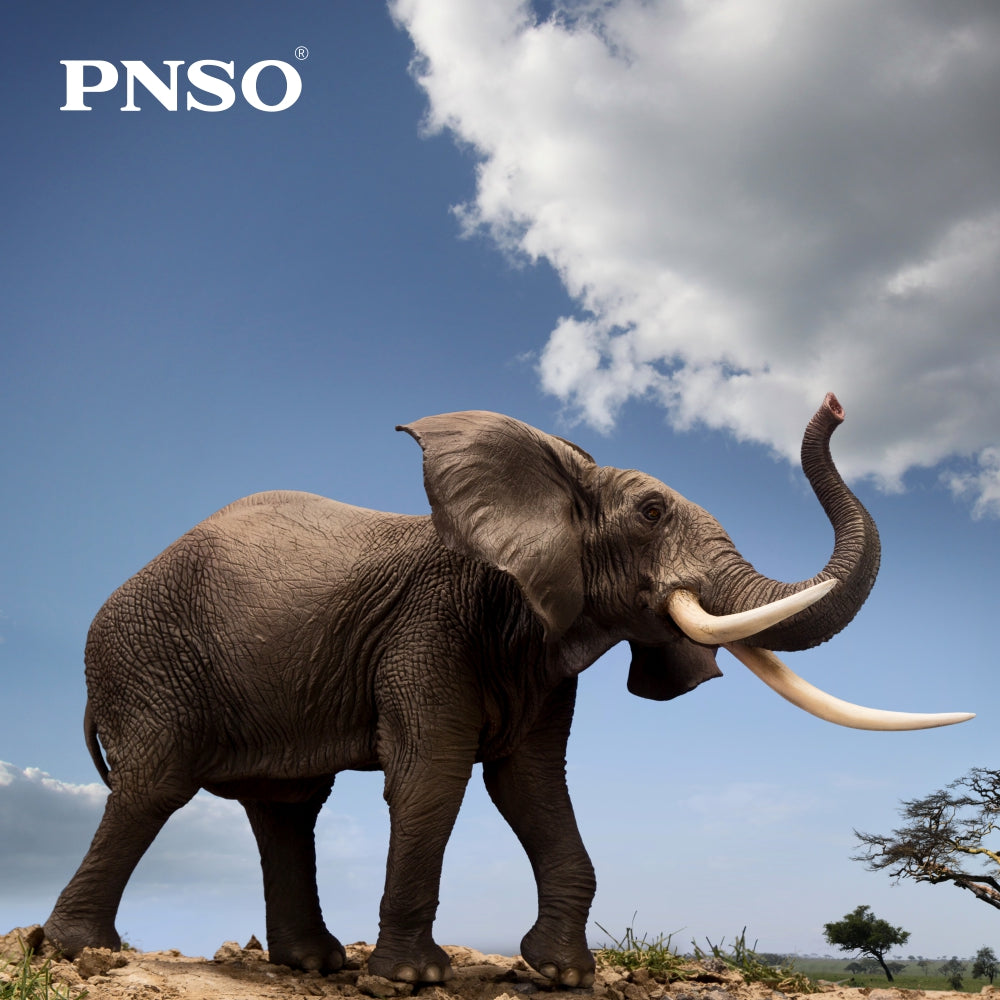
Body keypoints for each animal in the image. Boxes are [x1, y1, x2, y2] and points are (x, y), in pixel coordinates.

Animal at [43, 393, 971, 986]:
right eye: (648, 514)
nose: (837, 406)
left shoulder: (534, 651)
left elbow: (529, 784)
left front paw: (560, 974)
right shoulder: (428, 630)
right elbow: (434, 774)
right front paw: (412, 980)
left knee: (287, 806)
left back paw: (313, 964)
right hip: (149, 661)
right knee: (157, 784)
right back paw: (78, 952)